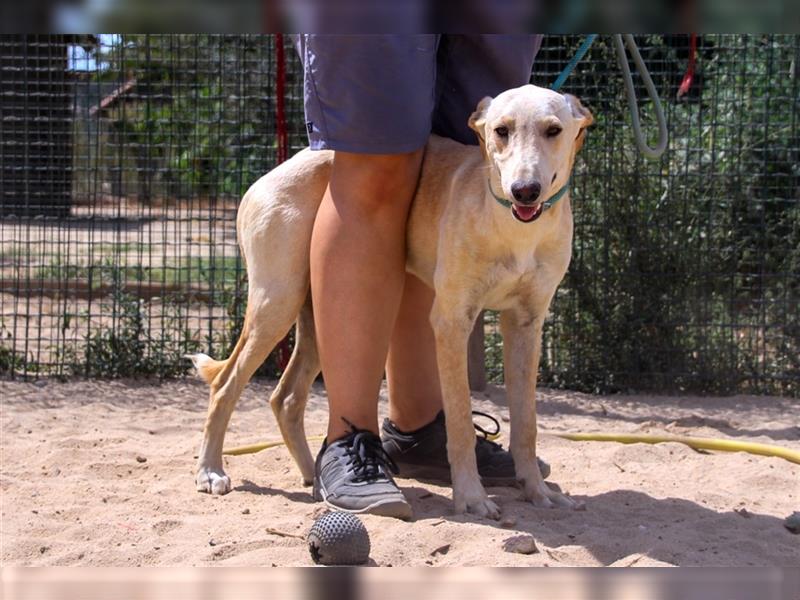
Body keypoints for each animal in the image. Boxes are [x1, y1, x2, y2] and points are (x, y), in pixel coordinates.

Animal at [191, 82, 592, 516]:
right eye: (501, 130)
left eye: (553, 130)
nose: (525, 191)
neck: (514, 230)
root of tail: (267, 177)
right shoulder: (452, 321)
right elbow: (461, 423)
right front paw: (471, 497)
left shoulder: (526, 324)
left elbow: (527, 425)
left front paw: (537, 490)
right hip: (275, 304)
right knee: (225, 385)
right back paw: (211, 472)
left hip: (320, 322)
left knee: (286, 397)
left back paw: (315, 477)